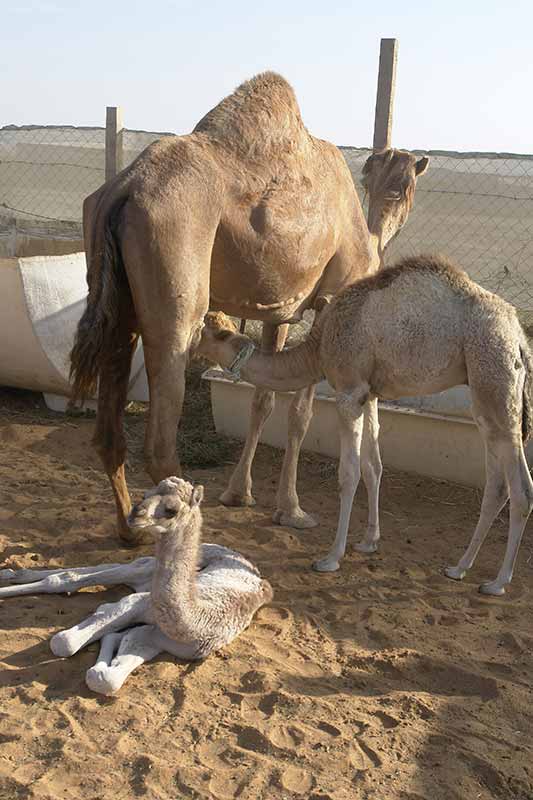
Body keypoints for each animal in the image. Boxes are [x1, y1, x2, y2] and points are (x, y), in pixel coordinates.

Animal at [0, 478, 272, 696]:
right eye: (144, 494)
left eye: (171, 509)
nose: (134, 514)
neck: (196, 621)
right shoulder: (138, 603)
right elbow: (64, 642)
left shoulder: (163, 641)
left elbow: (107, 676)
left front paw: (109, 646)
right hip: (155, 569)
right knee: (79, 575)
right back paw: (11, 575)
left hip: (151, 574)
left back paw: (13, 574)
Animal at [70, 69, 428, 544]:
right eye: (404, 187)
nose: (396, 197)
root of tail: (124, 188)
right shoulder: (330, 303)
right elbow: (300, 413)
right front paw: (292, 510)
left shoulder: (281, 309)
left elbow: (264, 401)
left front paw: (241, 493)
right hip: (176, 284)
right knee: (161, 443)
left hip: (115, 297)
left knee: (110, 428)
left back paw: (131, 532)